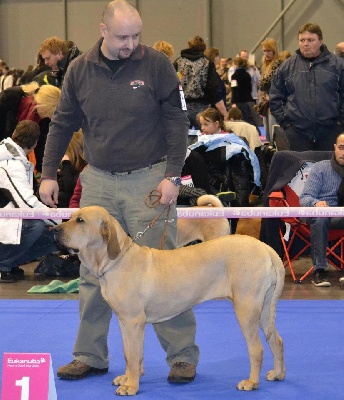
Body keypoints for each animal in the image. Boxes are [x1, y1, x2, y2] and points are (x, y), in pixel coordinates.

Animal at [53, 206, 284, 396]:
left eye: (80, 220)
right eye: (71, 217)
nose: (54, 230)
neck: (115, 260)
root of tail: (265, 247)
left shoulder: (134, 322)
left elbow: (132, 354)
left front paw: (131, 386)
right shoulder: (125, 322)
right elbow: (131, 354)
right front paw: (128, 378)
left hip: (246, 308)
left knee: (257, 349)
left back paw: (251, 382)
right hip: (264, 309)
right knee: (276, 340)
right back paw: (278, 373)